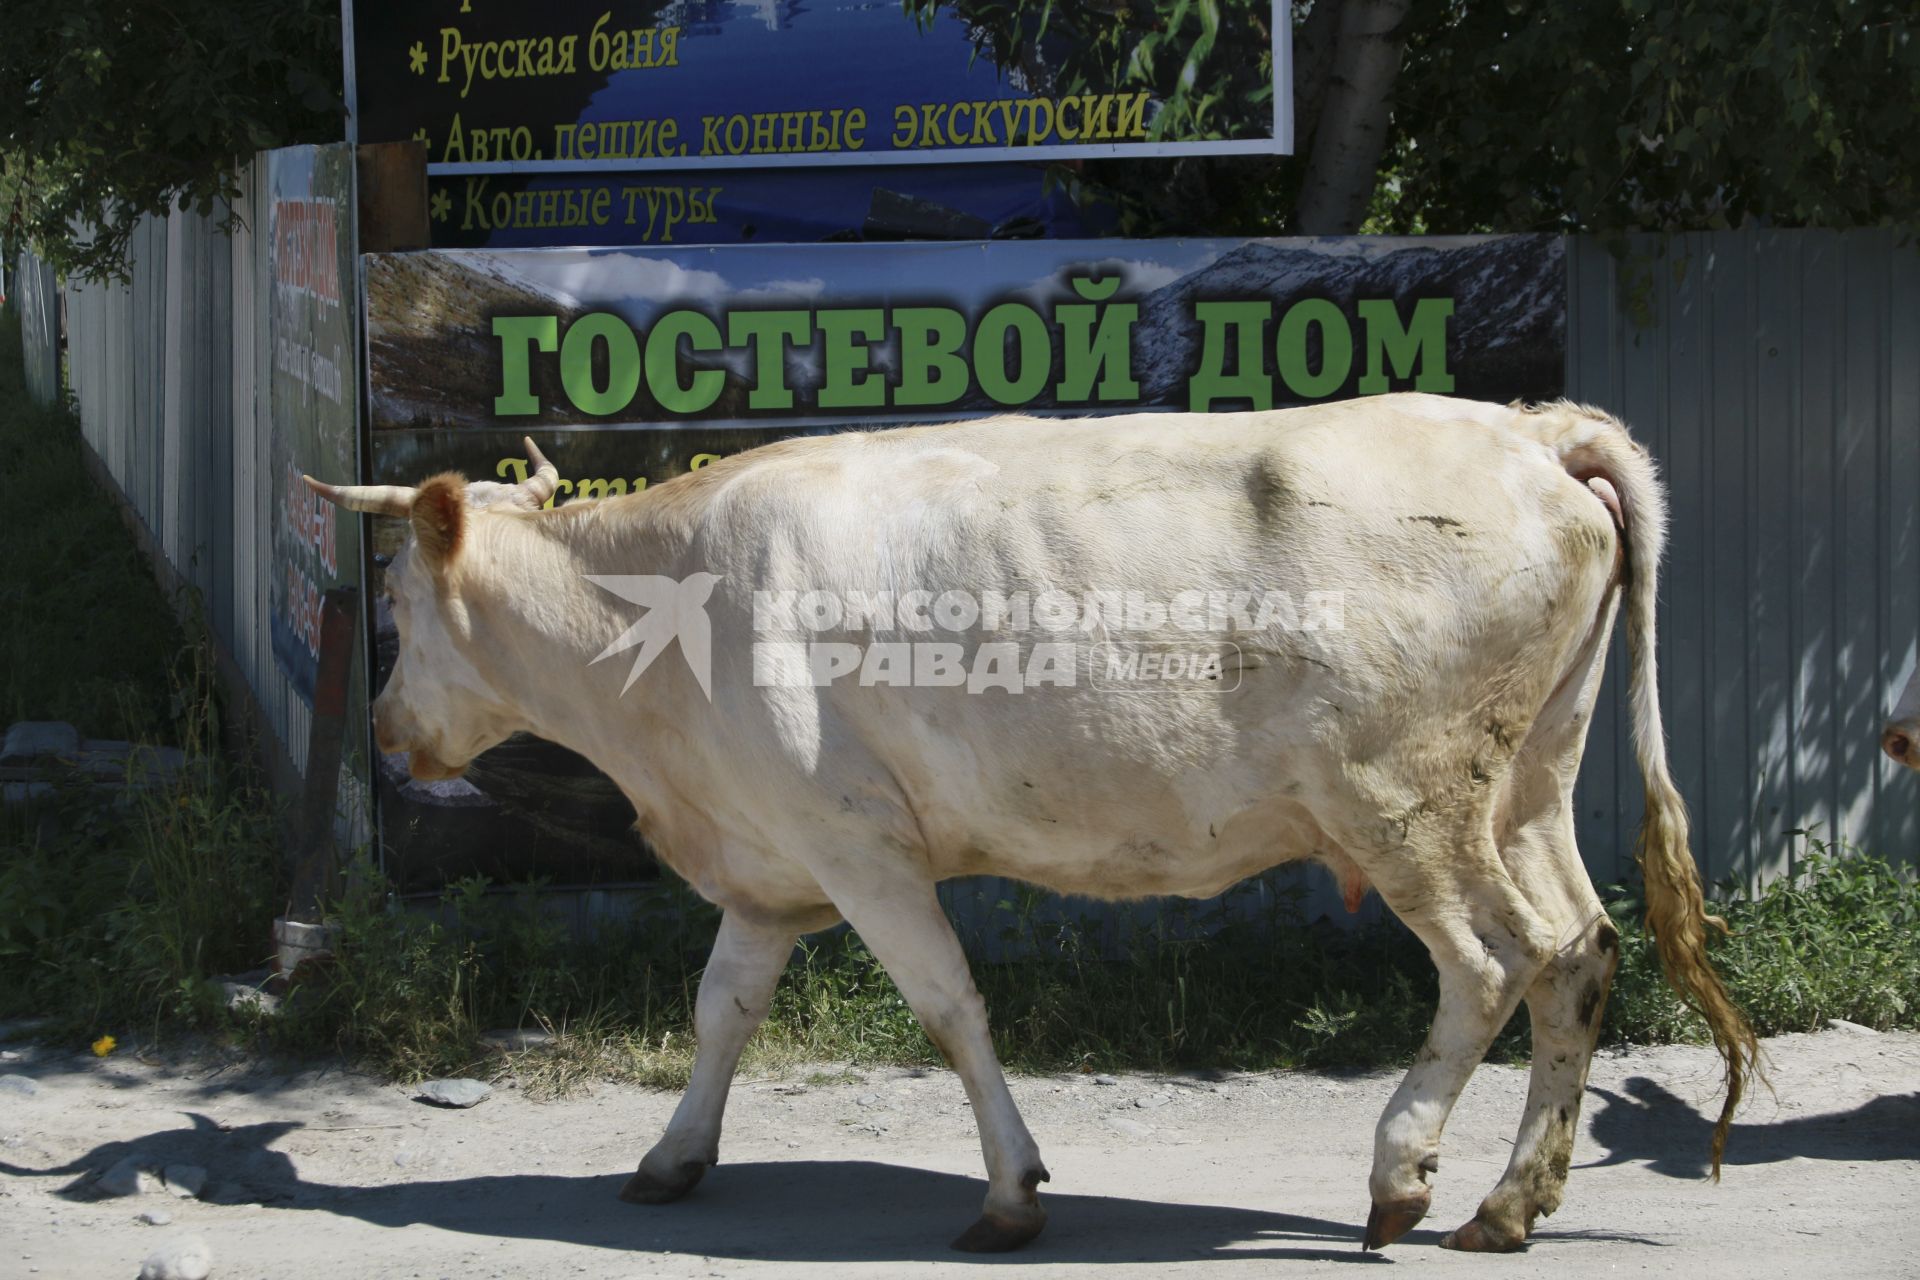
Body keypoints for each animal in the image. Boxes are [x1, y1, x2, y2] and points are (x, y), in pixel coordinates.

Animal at [311, 393, 1758, 1251]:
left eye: (399, 600)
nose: (377, 725)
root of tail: (1528, 428)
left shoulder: (858, 844)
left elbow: (949, 1006)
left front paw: (1010, 1192)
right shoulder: (772, 859)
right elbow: (721, 1009)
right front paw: (672, 1160)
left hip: (1406, 799)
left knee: (1491, 962)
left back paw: (1404, 1174)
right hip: (1528, 785)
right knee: (1579, 951)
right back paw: (1514, 1200)